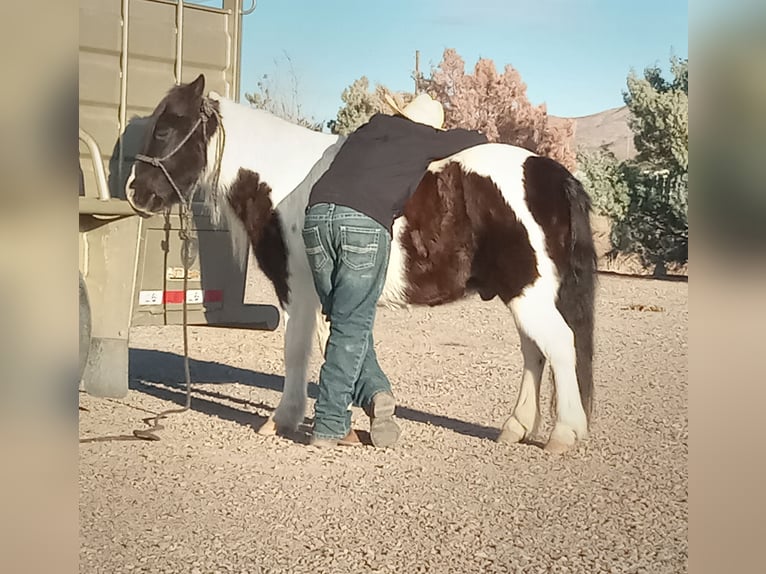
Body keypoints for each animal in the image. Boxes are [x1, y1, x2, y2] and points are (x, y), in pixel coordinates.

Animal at [126, 75, 596, 454]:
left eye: (165, 129)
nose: (135, 191)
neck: (286, 178)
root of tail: (553, 175)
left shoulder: (297, 288)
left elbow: (297, 350)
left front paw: (284, 419)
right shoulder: (327, 291)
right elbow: (336, 345)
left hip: (529, 293)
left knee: (558, 345)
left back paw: (564, 434)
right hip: (523, 293)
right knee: (534, 352)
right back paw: (516, 428)